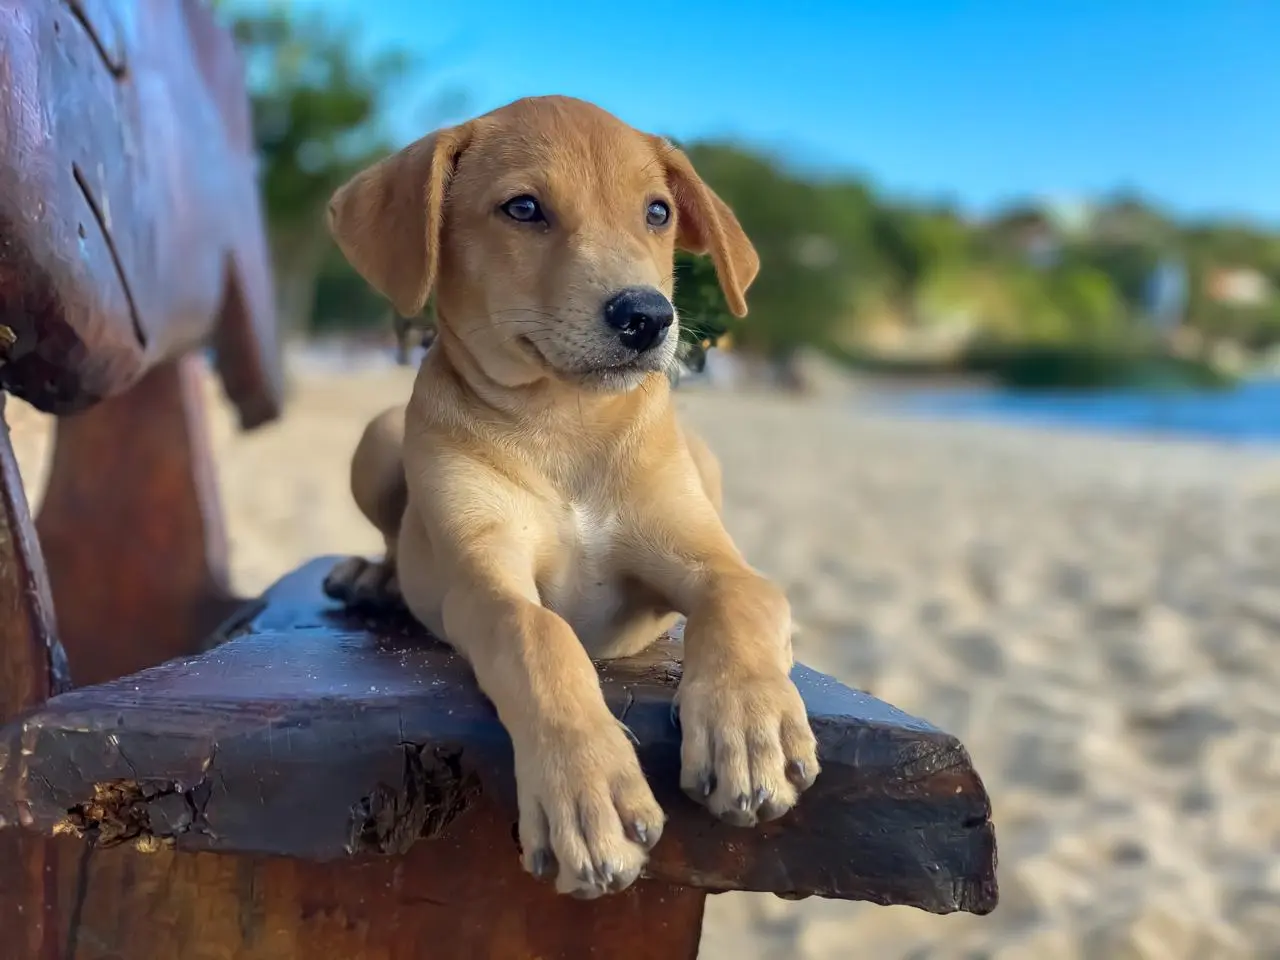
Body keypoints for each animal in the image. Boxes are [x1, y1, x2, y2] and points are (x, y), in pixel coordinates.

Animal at [325, 96, 814, 901]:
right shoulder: (483, 579)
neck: (565, 425)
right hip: (377, 437)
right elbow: (538, 635)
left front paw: (749, 727)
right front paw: (588, 791)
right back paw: (375, 576)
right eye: (523, 208)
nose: (647, 317)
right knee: (398, 536)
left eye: (657, 212)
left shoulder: (708, 555)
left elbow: (742, 598)